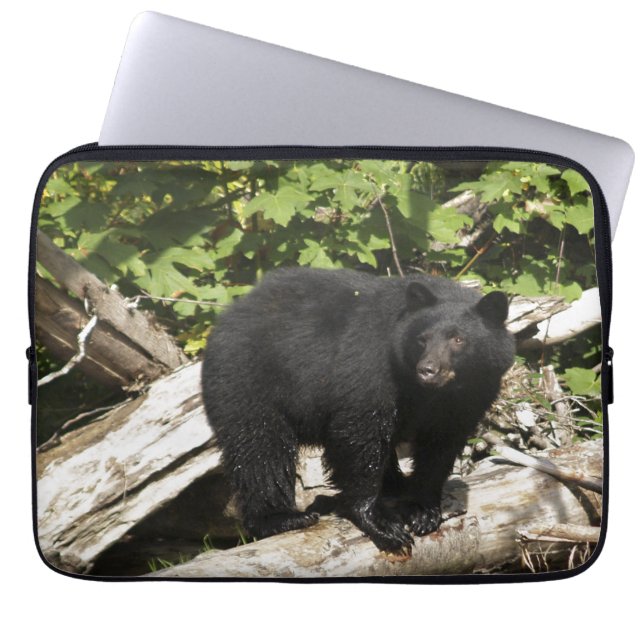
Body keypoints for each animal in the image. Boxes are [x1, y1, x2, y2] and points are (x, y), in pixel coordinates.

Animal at [201, 267, 515, 552]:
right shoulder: (372, 366)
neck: (429, 392)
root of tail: (228, 316)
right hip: (248, 378)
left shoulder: (469, 397)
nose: (428, 370)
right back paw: (281, 518)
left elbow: (441, 445)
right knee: (261, 448)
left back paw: (394, 485)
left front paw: (423, 509)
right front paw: (381, 524)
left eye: (458, 339)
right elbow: (360, 434)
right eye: (421, 339)